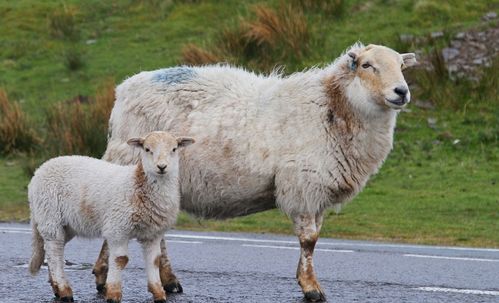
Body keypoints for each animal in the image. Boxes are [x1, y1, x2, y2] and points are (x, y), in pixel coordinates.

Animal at [26, 131, 195, 303]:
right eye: (147, 149)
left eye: (174, 149)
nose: (161, 167)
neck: (137, 182)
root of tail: (40, 170)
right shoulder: (118, 228)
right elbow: (120, 259)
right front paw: (113, 294)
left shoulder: (152, 234)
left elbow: (154, 261)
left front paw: (159, 294)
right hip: (50, 216)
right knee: (54, 251)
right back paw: (64, 291)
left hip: (66, 225)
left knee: (53, 250)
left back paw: (56, 289)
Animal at [94, 42, 418, 302]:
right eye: (367, 65)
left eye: (401, 66)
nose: (401, 92)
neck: (332, 107)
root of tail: (125, 89)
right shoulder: (302, 185)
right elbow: (308, 240)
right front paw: (311, 287)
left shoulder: (318, 191)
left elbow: (314, 238)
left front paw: (306, 281)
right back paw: (103, 275)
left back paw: (167, 280)